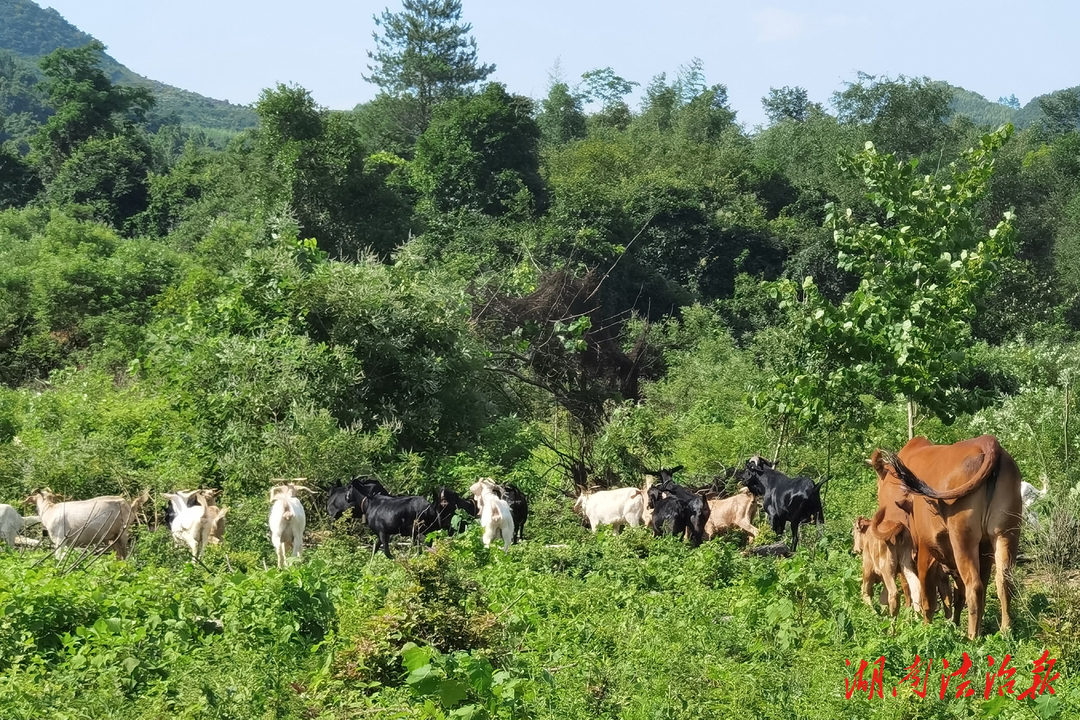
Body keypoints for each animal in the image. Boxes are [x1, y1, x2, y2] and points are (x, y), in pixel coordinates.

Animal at [876, 436, 1019, 639]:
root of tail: (987, 441)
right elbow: (959, 594)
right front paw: (956, 624)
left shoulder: (926, 550)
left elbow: (928, 598)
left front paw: (927, 630)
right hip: (1006, 533)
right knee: (1003, 581)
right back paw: (1005, 630)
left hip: (963, 538)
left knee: (974, 586)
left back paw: (972, 638)